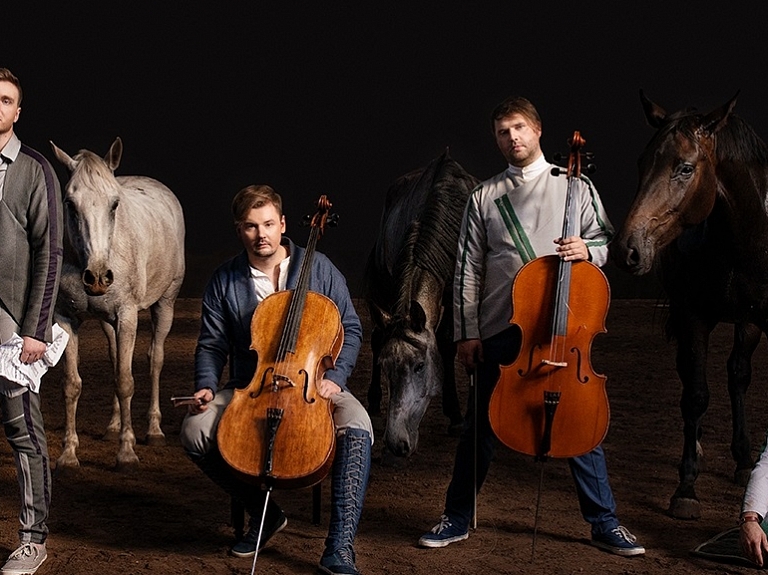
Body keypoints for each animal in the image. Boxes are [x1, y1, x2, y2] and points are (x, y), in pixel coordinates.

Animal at [51, 137, 186, 470]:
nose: (98, 277)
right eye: (70, 203)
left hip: (165, 304)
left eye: (114, 204)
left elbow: (125, 381)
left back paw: (153, 430)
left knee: (155, 360)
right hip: (107, 322)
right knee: (115, 359)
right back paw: (113, 427)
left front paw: (126, 452)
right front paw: (68, 453)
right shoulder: (65, 319)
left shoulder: (127, 316)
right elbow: (72, 384)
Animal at [364, 150, 476, 464]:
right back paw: (373, 399)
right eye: (386, 367)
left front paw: (456, 415)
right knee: (377, 336)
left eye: (420, 366)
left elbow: (449, 343)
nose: (395, 443)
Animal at [608, 92, 764, 520]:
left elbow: (736, 378)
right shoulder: (693, 318)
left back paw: (742, 459)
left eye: (685, 167)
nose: (626, 249)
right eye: (641, 163)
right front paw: (686, 487)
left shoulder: (756, 320)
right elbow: (695, 395)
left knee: (737, 374)